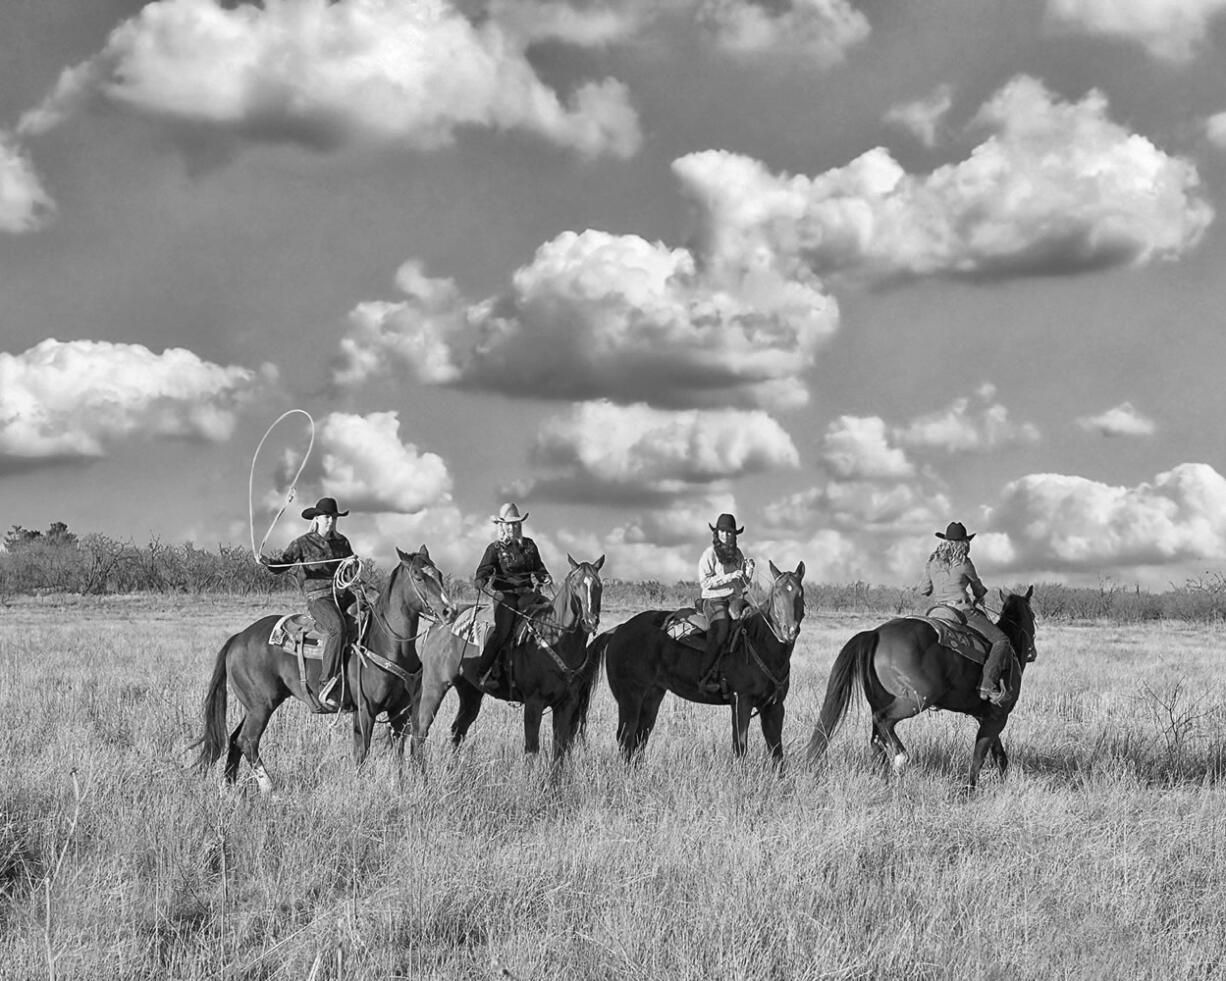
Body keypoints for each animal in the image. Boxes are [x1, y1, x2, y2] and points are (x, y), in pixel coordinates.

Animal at [193, 546, 453, 794]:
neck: (388, 643)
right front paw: (358, 787)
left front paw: (397, 788)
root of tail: (238, 638)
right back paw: (269, 789)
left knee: (235, 739)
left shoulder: (400, 713)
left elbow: (398, 753)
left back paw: (228, 787)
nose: (449, 611)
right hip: (261, 706)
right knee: (248, 740)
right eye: (418, 576)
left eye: (439, 574)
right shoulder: (364, 711)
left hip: (253, 706)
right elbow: (362, 752)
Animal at [411, 556, 603, 755]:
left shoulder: (566, 705)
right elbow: (532, 748)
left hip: (470, 692)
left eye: (599, 585)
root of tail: (437, 625)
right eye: (575, 584)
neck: (556, 639)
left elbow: (560, 750)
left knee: (458, 729)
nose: (590, 621)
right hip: (434, 686)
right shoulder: (534, 703)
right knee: (421, 729)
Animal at [590, 559, 804, 765]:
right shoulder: (741, 701)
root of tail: (619, 629)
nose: (789, 631)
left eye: (800, 593)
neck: (758, 643)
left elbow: (777, 753)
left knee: (640, 738)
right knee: (626, 738)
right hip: (630, 697)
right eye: (776, 594)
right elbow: (741, 747)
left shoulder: (775, 707)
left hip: (652, 696)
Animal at [809, 583, 1039, 789]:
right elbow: (980, 756)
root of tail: (875, 633)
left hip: (882, 701)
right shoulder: (998, 717)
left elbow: (999, 756)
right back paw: (900, 758)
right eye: (1034, 615)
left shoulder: (987, 716)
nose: (1032, 652)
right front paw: (970, 789)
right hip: (915, 700)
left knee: (876, 741)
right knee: (883, 721)